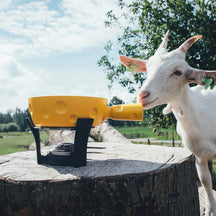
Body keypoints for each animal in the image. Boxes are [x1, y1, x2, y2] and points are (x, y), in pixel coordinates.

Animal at [120, 30, 216, 216]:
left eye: (177, 72)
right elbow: (205, 181)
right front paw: (210, 210)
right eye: (147, 69)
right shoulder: (199, 155)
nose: (143, 95)